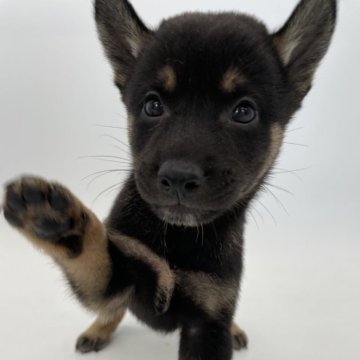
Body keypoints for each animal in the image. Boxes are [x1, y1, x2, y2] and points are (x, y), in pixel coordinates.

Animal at [2, 0, 336, 360]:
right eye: (152, 105)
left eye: (244, 112)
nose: (178, 178)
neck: (178, 236)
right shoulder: (119, 275)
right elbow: (93, 257)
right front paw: (53, 221)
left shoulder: (209, 318)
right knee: (111, 310)